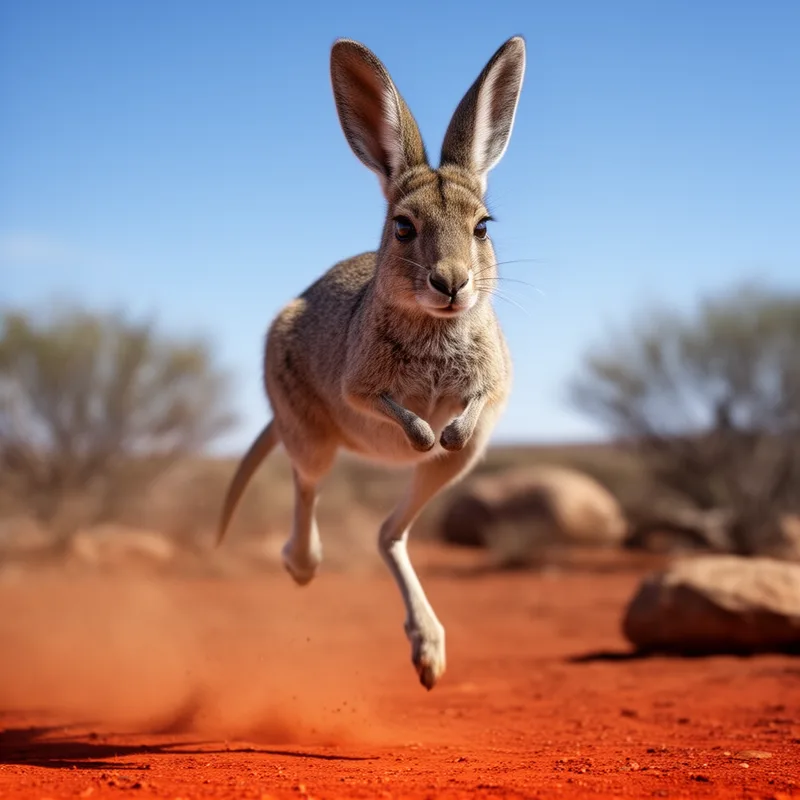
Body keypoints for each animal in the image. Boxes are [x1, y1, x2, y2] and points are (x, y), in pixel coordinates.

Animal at [217, 35, 526, 690]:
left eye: (482, 227)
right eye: (403, 227)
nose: (452, 283)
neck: (436, 327)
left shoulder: (493, 383)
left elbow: (473, 406)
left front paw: (446, 428)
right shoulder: (357, 387)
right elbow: (391, 410)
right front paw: (422, 431)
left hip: (456, 469)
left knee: (389, 534)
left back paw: (429, 651)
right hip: (309, 432)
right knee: (309, 486)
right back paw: (301, 563)